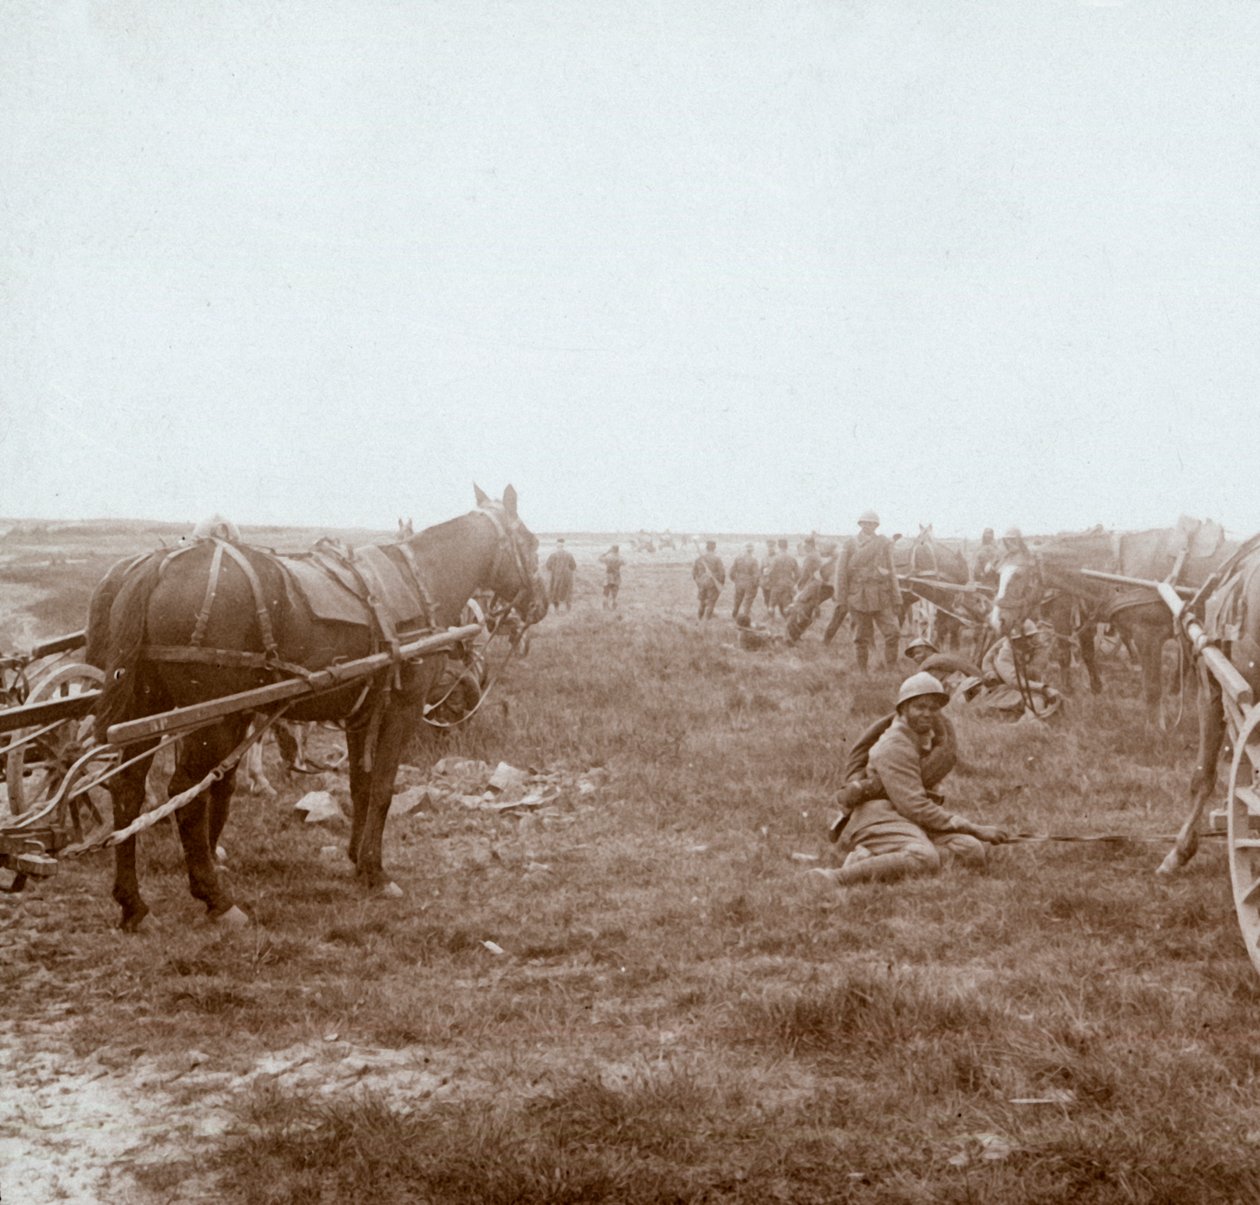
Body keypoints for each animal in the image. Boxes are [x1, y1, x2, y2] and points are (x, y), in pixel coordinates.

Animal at [86, 484, 544, 927]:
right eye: (531, 541)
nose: (538, 602)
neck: (420, 582)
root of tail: (158, 566)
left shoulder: (361, 714)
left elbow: (361, 787)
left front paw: (357, 860)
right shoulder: (403, 708)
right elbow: (383, 789)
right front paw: (377, 872)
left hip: (150, 707)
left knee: (128, 790)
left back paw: (133, 904)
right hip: (211, 718)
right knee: (185, 793)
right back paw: (215, 897)